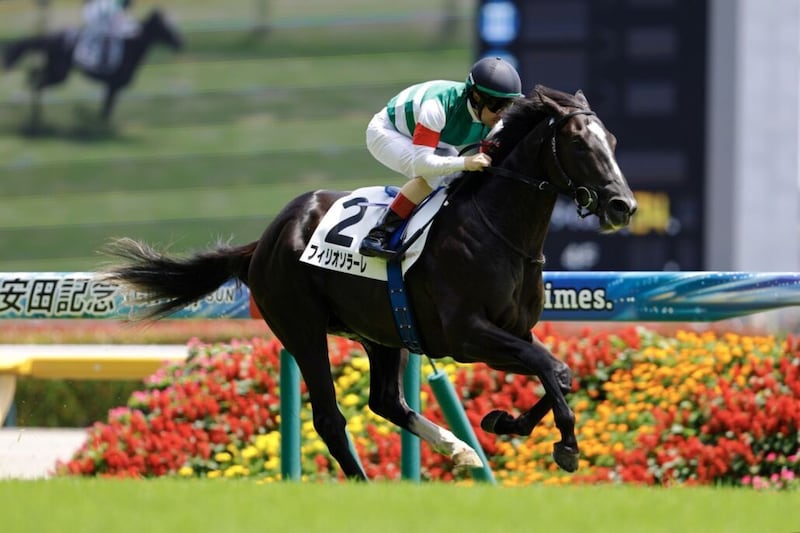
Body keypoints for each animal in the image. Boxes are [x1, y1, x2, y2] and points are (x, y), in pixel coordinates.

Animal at [2, 9, 182, 122]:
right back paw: (36, 117)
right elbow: (106, 112)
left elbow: (105, 110)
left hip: (54, 69)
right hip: (59, 73)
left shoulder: (111, 87)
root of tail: (51, 37)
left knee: (32, 76)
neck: (130, 45)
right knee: (36, 82)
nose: (181, 42)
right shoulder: (114, 86)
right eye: (166, 25)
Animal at [101, 85, 638, 480]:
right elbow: (551, 368)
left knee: (385, 401)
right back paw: (364, 481)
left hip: (382, 333)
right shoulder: (468, 336)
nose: (623, 206)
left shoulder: (514, 332)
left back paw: (458, 449)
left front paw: (505, 421)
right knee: (329, 418)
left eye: (613, 141)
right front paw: (565, 445)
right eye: (578, 142)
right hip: (301, 330)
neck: (498, 232)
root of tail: (267, 238)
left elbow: (557, 372)